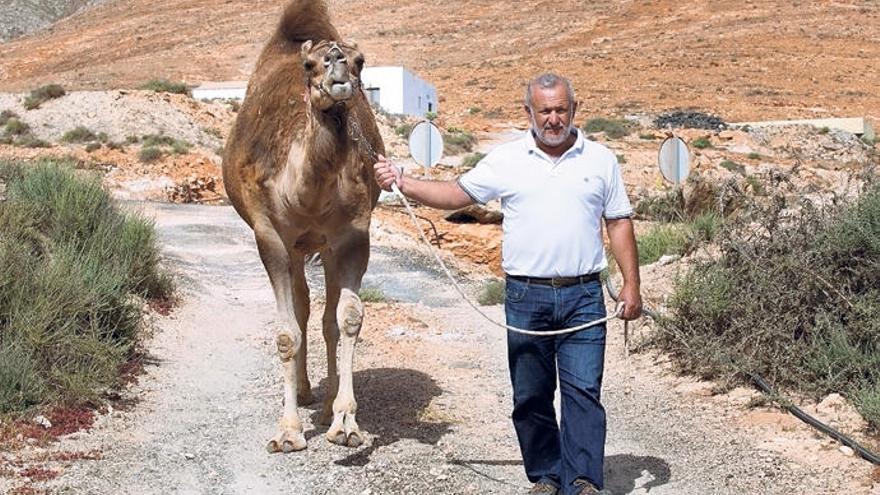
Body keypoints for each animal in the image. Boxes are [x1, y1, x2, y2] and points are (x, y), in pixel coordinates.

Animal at [222, 0, 384, 454]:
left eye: (360, 61)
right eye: (309, 64)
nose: (338, 71)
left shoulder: (352, 235)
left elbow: (347, 319)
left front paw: (346, 423)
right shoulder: (270, 236)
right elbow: (285, 332)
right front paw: (288, 431)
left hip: (322, 247)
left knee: (323, 315)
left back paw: (325, 405)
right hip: (294, 248)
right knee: (302, 305)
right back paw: (305, 391)